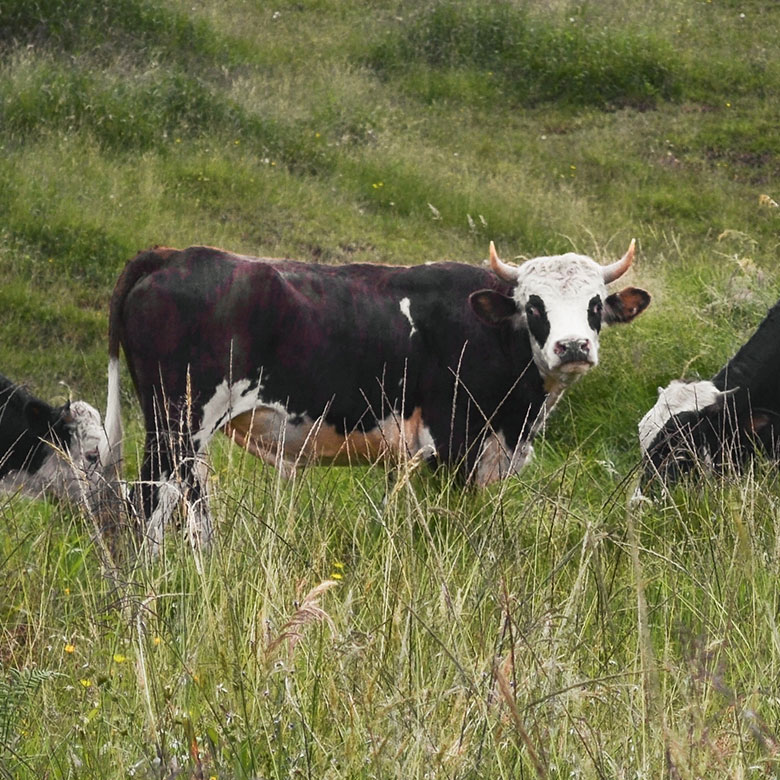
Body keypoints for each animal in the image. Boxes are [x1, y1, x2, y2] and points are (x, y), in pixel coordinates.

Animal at [105, 239, 652, 548]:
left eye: (595, 304)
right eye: (534, 304)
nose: (573, 346)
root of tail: (171, 257)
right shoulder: (454, 444)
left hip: (187, 436)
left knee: (191, 503)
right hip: (178, 422)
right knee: (150, 501)